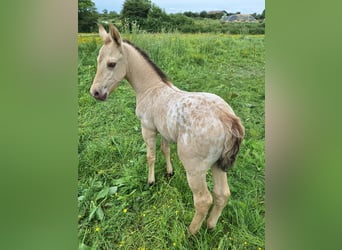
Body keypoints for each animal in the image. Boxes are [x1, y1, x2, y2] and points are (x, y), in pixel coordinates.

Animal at [89, 24, 244, 233]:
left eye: (112, 64)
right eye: (98, 61)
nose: (95, 93)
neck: (150, 88)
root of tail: (227, 119)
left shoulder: (147, 128)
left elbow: (151, 156)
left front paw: (151, 181)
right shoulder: (163, 130)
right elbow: (165, 150)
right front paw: (169, 173)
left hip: (195, 169)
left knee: (203, 200)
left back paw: (191, 232)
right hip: (218, 165)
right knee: (222, 194)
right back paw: (211, 226)